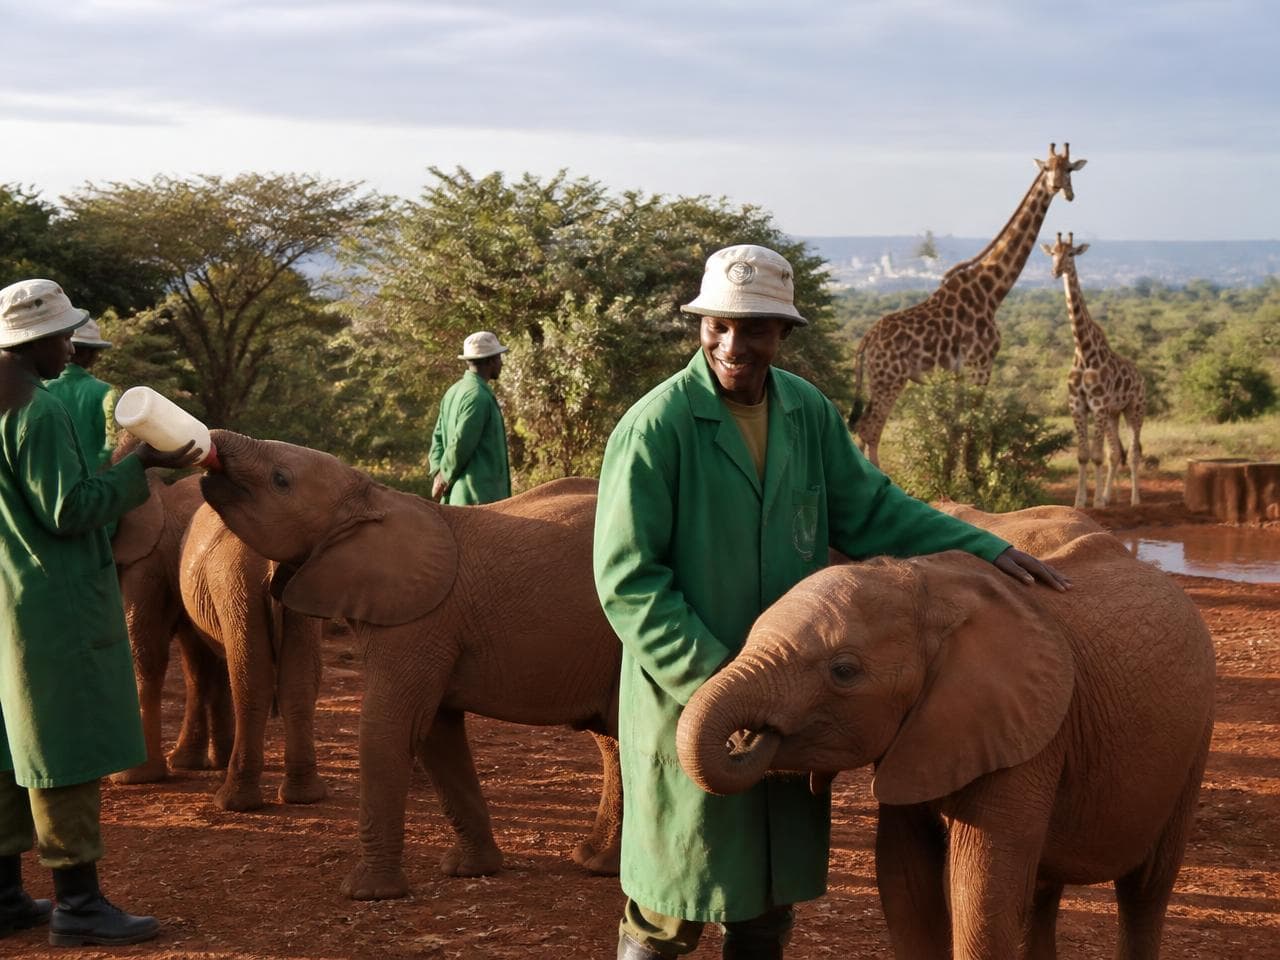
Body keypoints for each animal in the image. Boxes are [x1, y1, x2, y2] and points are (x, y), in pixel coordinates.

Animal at [197, 430, 623, 900]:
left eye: (280, 479)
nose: (207, 441)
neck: (372, 497)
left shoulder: (418, 623)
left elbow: (387, 727)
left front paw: (366, 893)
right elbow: (437, 733)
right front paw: (469, 870)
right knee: (612, 739)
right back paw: (593, 861)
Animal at [676, 506, 1215, 960]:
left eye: (844, 671)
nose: (751, 737)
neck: (929, 591)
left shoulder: (1026, 735)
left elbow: (980, 892)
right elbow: (904, 881)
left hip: (1193, 746)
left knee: (1145, 890)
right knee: (1040, 894)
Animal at [848, 143, 1087, 466]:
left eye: (1069, 169)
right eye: (1047, 168)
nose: (1059, 188)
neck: (991, 291)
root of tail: (867, 341)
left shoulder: (960, 373)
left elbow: (956, 433)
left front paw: (954, 474)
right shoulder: (981, 365)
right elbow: (971, 433)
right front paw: (970, 477)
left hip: (880, 379)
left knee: (865, 427)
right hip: (890, 378)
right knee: (870, 428)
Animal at [1042, 231, 1145, 508]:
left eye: (1070, 253)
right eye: (1052, 253)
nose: (1055, 271)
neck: (1084, 351)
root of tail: (1141, 376)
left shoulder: (1097, 405)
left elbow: (1096, 455)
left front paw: (1096, 502)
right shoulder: (1078, 405)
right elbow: (1083, 454)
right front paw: (1080, 501)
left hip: (1134, 409)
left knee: (1133, 453)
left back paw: (1134, 500)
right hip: (1113, 414)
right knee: (1116, 452)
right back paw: (1110, 496)